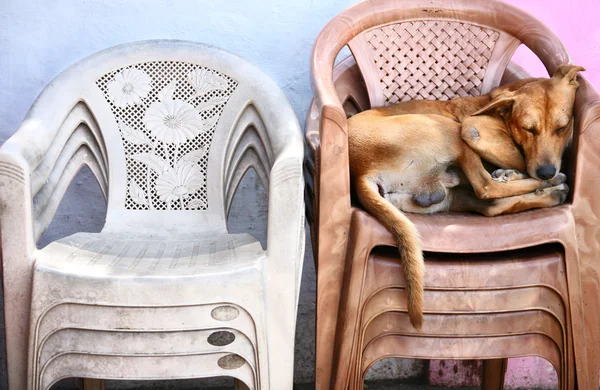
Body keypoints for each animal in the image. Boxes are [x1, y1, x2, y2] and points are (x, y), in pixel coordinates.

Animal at [350, 64, 584, 330]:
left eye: (562, 128)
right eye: (528, 128)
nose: (546, 171)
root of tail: (360, 170)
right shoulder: (479, 129)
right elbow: (515, 164)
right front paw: (524, 174)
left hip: (447, 195)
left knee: (491, 205)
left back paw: (549, 191)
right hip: (451, 128)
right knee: (486, 187)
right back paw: (549, 184)